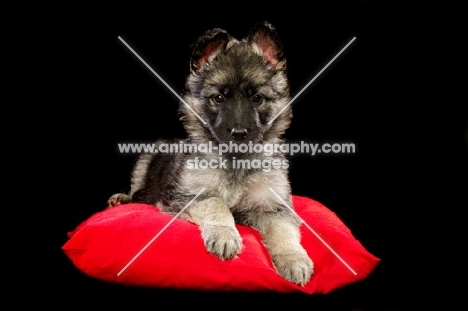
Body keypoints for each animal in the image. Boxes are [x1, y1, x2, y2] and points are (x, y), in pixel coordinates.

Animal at [109, 20, 312, 286]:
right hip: (146, 159)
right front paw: (225, 235)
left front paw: (294, 259)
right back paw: (122, 198)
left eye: (257, 98)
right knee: (137, 188)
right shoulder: (187, 196)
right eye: (218, 98)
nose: (239, 133)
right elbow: (216, 202)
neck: (235, 161)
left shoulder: (274, 207)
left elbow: (284, 231)